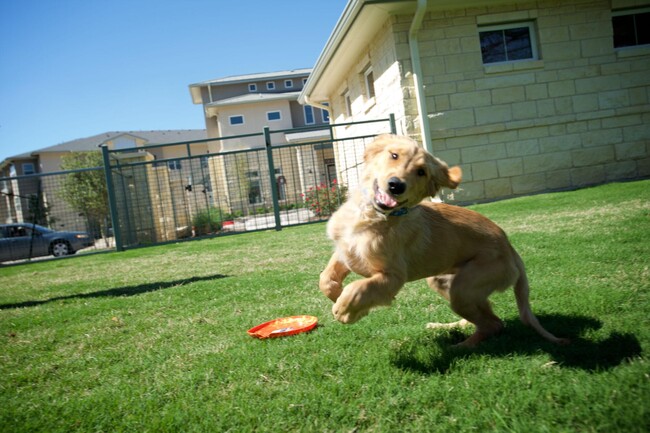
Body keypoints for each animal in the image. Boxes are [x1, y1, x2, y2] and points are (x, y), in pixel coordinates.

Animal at [320, 133, 568, 346]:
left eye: (421, 172)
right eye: (394, 155)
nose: (396, 185)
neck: (372, 216)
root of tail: (511, 249)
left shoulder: (392, 277)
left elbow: (357, 288)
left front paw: (345, 311)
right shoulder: (345, 252)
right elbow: (326, 279)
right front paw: (337, 297)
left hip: (464, 288)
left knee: (494, 324)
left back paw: (461, 346)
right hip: (444, 282)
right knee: (487, 317)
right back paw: (446, 327)